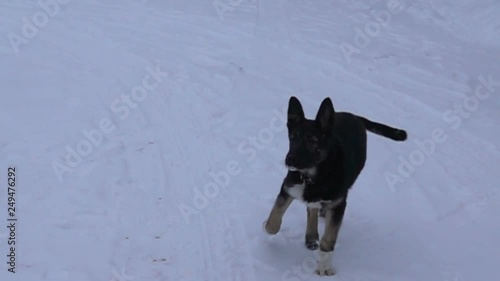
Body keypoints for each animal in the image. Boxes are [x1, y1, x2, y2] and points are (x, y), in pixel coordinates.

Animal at [262, 96, 406, 276]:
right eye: (292, 137)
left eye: (312, 141)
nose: (289, 160)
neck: (313, 176)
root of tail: (354, 116)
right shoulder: (289, 187)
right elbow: (273, 221)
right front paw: (267, 224)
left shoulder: (338, 204)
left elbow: (328, 239)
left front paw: (324, 267)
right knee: (311, 208)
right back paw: (311, 235)